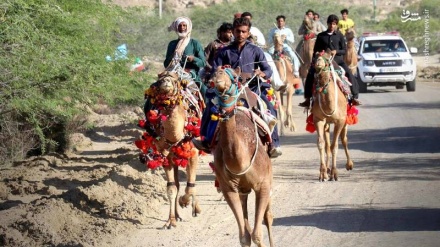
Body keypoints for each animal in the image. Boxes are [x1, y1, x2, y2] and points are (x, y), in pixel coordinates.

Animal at [137, 68, 204, 230]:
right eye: (159, 79)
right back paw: (178, 215)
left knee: (190, 181)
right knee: (178, 184)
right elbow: (172, 188)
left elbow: (190, 185)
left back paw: (195, 208)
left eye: (175, 80)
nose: (165, 82)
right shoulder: (165, 157)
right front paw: (170, 221)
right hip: (173, 158)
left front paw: (185, 202)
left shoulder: (193, 154)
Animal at [209, 66, 274, 247]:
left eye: (234, 76)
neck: (239, 161)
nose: (217, 78)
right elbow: (244, 237)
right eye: (213, 72)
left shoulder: (263, 184)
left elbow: (258, 234)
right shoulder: (228, 189)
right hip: (242, 190)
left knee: (268, 218)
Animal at [312, 51, 354, 181]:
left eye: (328, 58)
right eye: (315, 56)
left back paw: (349, 164)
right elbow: (321, 144)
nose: (318, 62)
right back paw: (327, 169)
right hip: (327, 123)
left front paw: (334, 174)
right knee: (327, 145)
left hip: (345, 119)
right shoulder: (318, 119)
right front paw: (323, 173)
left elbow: (335, 146)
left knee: (344, 139)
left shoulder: (340, 121)